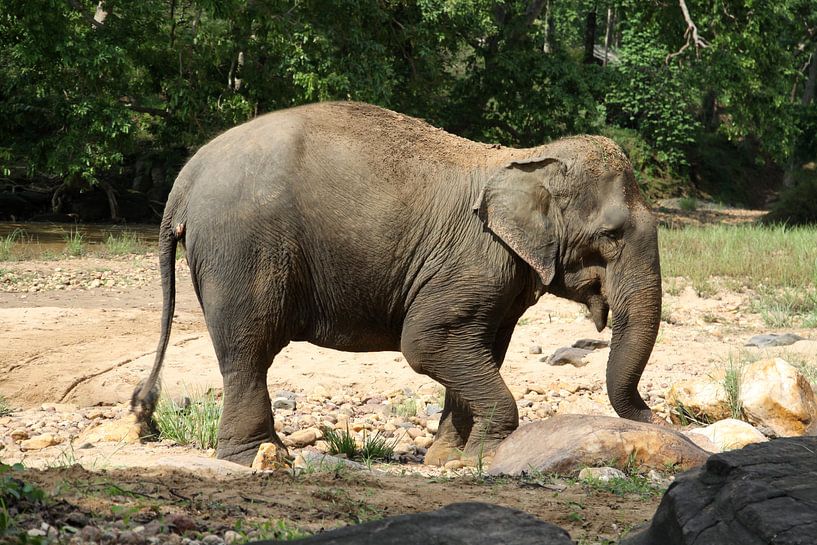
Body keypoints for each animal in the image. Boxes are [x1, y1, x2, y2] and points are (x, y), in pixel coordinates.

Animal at [131, 101, 662, 467]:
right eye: (611, 235)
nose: (661, 421)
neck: (530, 158)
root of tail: (185, 178)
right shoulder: (474, 262)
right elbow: (426, 342)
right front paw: (483, 457)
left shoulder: (499, 279)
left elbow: (482, 348)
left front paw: (447, 459)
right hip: (243, 251)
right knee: (248, 349)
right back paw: (260, 457)